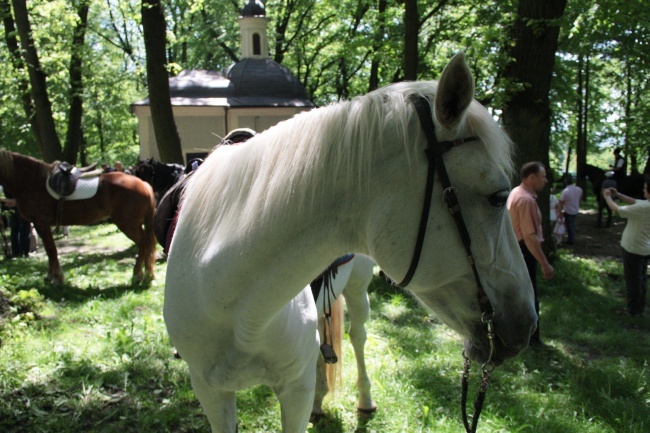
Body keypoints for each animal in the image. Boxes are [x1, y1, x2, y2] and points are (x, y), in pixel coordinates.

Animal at [0, 150, 156, 286]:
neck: (32, 181)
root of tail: (143, 184)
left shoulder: (41, 224)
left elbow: (51, 250)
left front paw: (56, 278)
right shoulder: (42, 225)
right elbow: (50, 250)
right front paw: (51, 276)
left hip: (128, 225)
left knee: (143, 243)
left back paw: (137, 275)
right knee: (147, 244)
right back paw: (148, 274)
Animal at [165, 54, 536, 432]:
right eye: (498, 197)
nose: (528, 324)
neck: (233, 303)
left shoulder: (294, 390)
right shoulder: (211, 393)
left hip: (358, 287)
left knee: (357, 336)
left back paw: (364, 399)